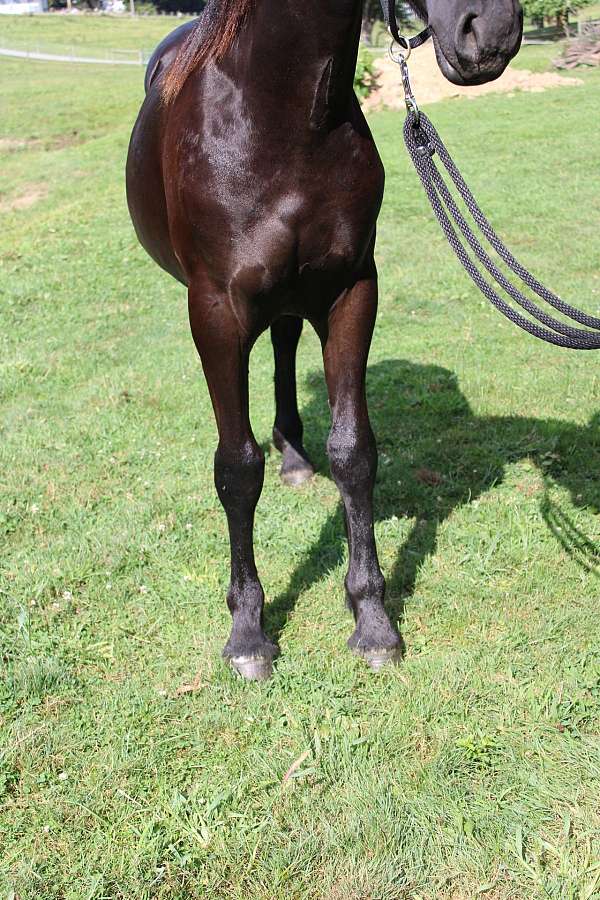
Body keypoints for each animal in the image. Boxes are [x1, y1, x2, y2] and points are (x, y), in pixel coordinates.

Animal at [125, 0, 520, 676]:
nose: (491, 29)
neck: (280, 113)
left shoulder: (352, 291)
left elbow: (354, 452)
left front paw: (373, 620)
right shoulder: (215, 313)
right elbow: (236, 468)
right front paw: (248, 633)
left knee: (284, 350)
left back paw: (293, 456)